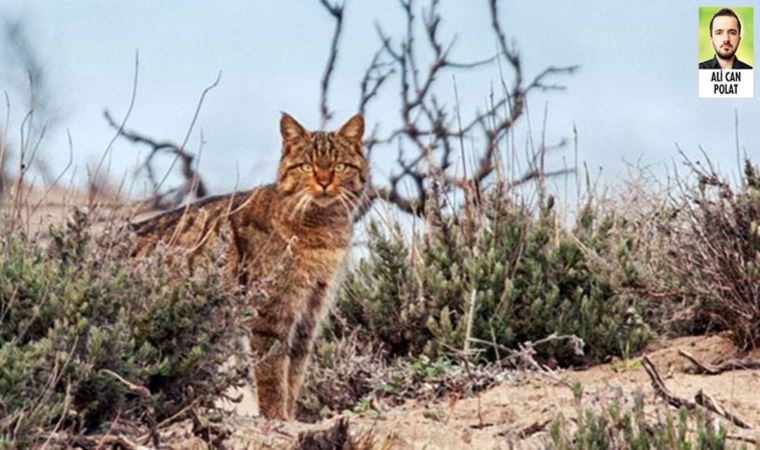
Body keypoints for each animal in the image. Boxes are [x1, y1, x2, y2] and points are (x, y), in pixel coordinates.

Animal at [132, 113, 366, 422]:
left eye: (339, 166)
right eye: (307, 166)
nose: (324, 182)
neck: (322, 232)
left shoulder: (310, 313)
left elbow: (294, 374)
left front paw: (289, 415)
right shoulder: (270, 314)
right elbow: (272, 373)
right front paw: (277, 416)